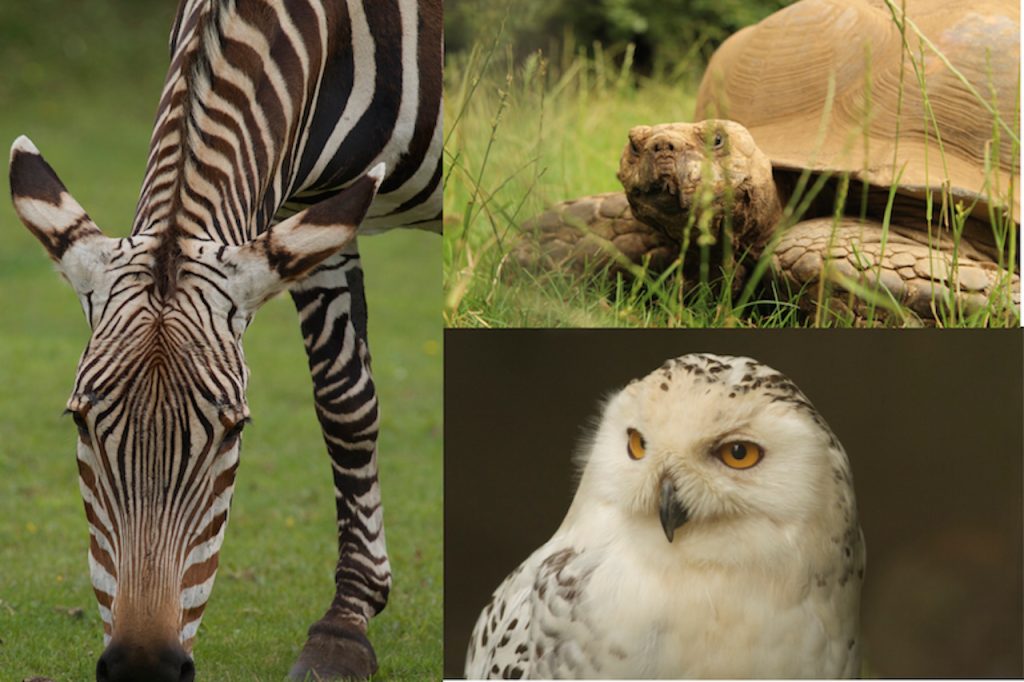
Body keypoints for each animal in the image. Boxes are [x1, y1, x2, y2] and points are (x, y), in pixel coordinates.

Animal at [8, 1, 441, 680]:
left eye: (234, 430)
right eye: (78, 421)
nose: (143, 669)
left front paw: (344, 626)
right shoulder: (311, 206)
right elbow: (344, 400)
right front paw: (350, 617)